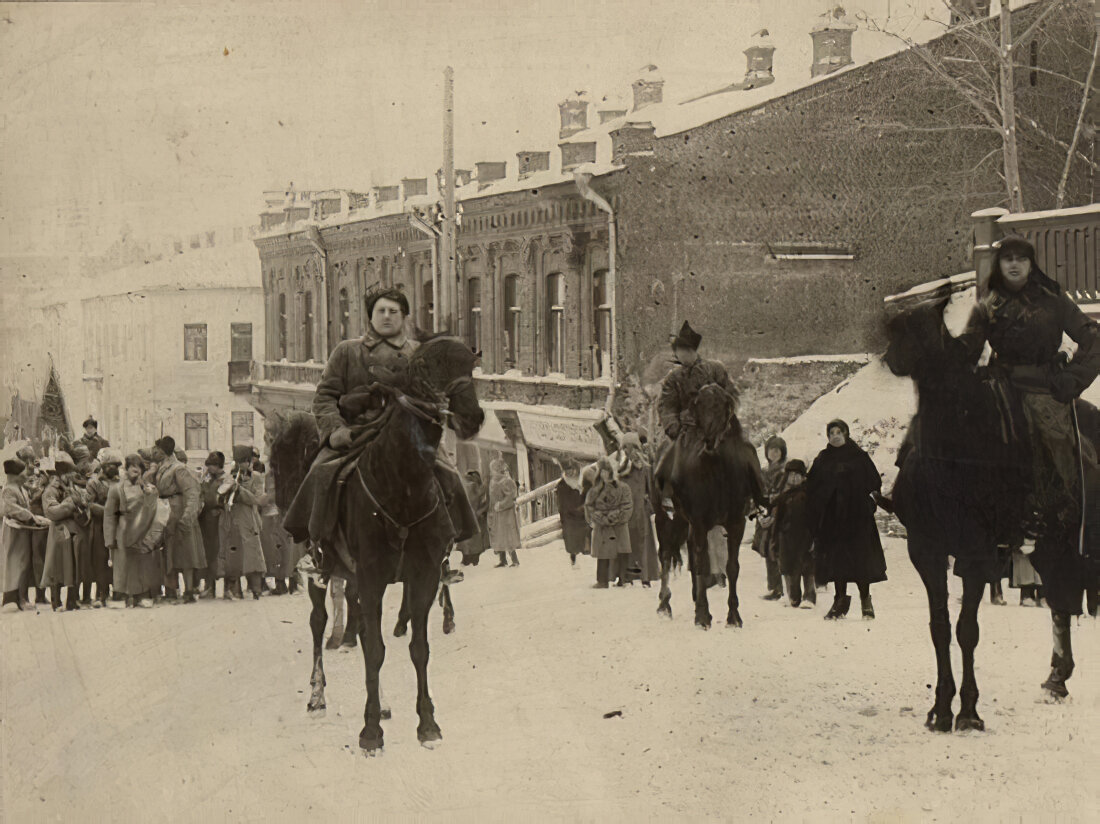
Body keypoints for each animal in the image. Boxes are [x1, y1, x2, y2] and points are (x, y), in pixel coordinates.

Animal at [273, 336, 481, 752]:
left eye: (470, 365)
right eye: (427, 369)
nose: (474, 417)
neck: (402, 487)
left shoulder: (422, 575)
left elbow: (418, 647)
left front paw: (427, 723)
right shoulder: (369, 577)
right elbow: (374, 650)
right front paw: (370, 731)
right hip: (324, 571)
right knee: (319, 623)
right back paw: (318, 695)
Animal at [651, 382, 765, 624]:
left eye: (723, 407)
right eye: (699, 406)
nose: (710, 441)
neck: (717, 472)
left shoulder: (735, 523)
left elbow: (731, 567)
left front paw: (733, 616)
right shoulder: (700, 522)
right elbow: (702, 563)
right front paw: (703, 616)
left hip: (685, 522)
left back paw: (695, 597)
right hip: (666, 518)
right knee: (665, 554)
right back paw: (665, 604)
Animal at [880, 294, 1034, 734]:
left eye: (929, 327)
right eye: (897, 327)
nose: (891, 354)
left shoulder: (976, 552)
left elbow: (968, 630)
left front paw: (967, 710)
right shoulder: (926, 550)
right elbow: (940, 627)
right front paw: (940, 707)